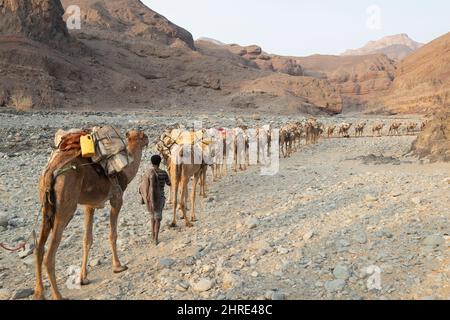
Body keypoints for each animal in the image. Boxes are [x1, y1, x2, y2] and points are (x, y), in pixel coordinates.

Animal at [34, 130, 149, 300]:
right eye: (143, 136)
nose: (149, 140)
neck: (124, 172)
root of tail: (50, 173)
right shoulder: (116, 199)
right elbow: (113, 234)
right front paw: (118, 266)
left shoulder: (89, 205)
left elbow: (87, 239)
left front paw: (83, 278)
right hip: (65, 207)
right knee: (50, 254)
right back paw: (58, 295)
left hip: (46, 208)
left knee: (39, 248)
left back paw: (39, 292)